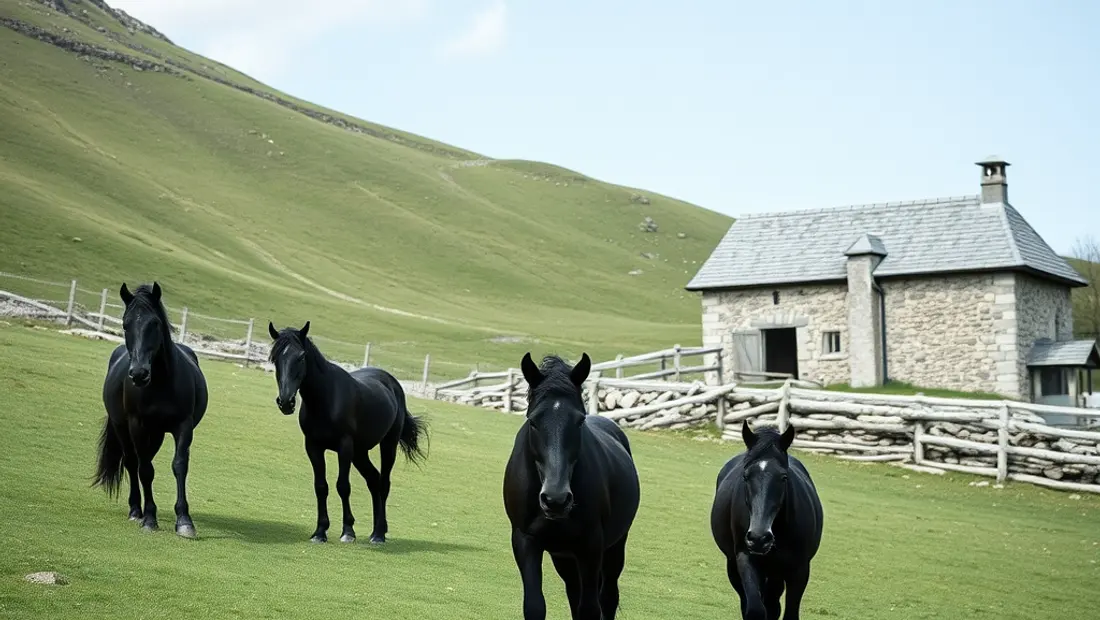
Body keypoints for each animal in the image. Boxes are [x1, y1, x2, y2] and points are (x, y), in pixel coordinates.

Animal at [93, 282, 209, 538]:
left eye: (154, 323)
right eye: (125, 324)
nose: (138, 374)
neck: (161, 383)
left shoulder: (183, 426)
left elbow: (179, 465)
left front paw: (184, 521)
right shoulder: (137, 425)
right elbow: (145, 470)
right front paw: (149, 518)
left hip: (155, 435)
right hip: (123, 428)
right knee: (132, 463)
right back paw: (136, 510)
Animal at [267, 320, 428, 544]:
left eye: (301, 357)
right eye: (275, 359)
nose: (286, 402)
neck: (326, 399)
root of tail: (392, 383)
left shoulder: (344, 447)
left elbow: (343, 486)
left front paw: (348, 531)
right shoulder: (313, 447)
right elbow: (321, 486)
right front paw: (320, 532)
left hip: (387, 445)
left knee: (384, 483)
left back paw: (379, 534)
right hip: (360, 453)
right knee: (374, 480)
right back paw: (376, 531)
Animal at [503, 352, 640, 620]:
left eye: (579, 421)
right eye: (533, 422)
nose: (555, 500)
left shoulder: (591, 545)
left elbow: (590, 609)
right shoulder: (525, 541)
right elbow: (535, 606)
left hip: (614, 548)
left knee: (607, 597)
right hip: (565, 557)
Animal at [710, 421, 824, 620]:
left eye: (784, 477)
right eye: (745, 476)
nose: (759, 538)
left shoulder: (800, 569)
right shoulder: (745, 559)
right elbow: (755, 610)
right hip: (736, 567)